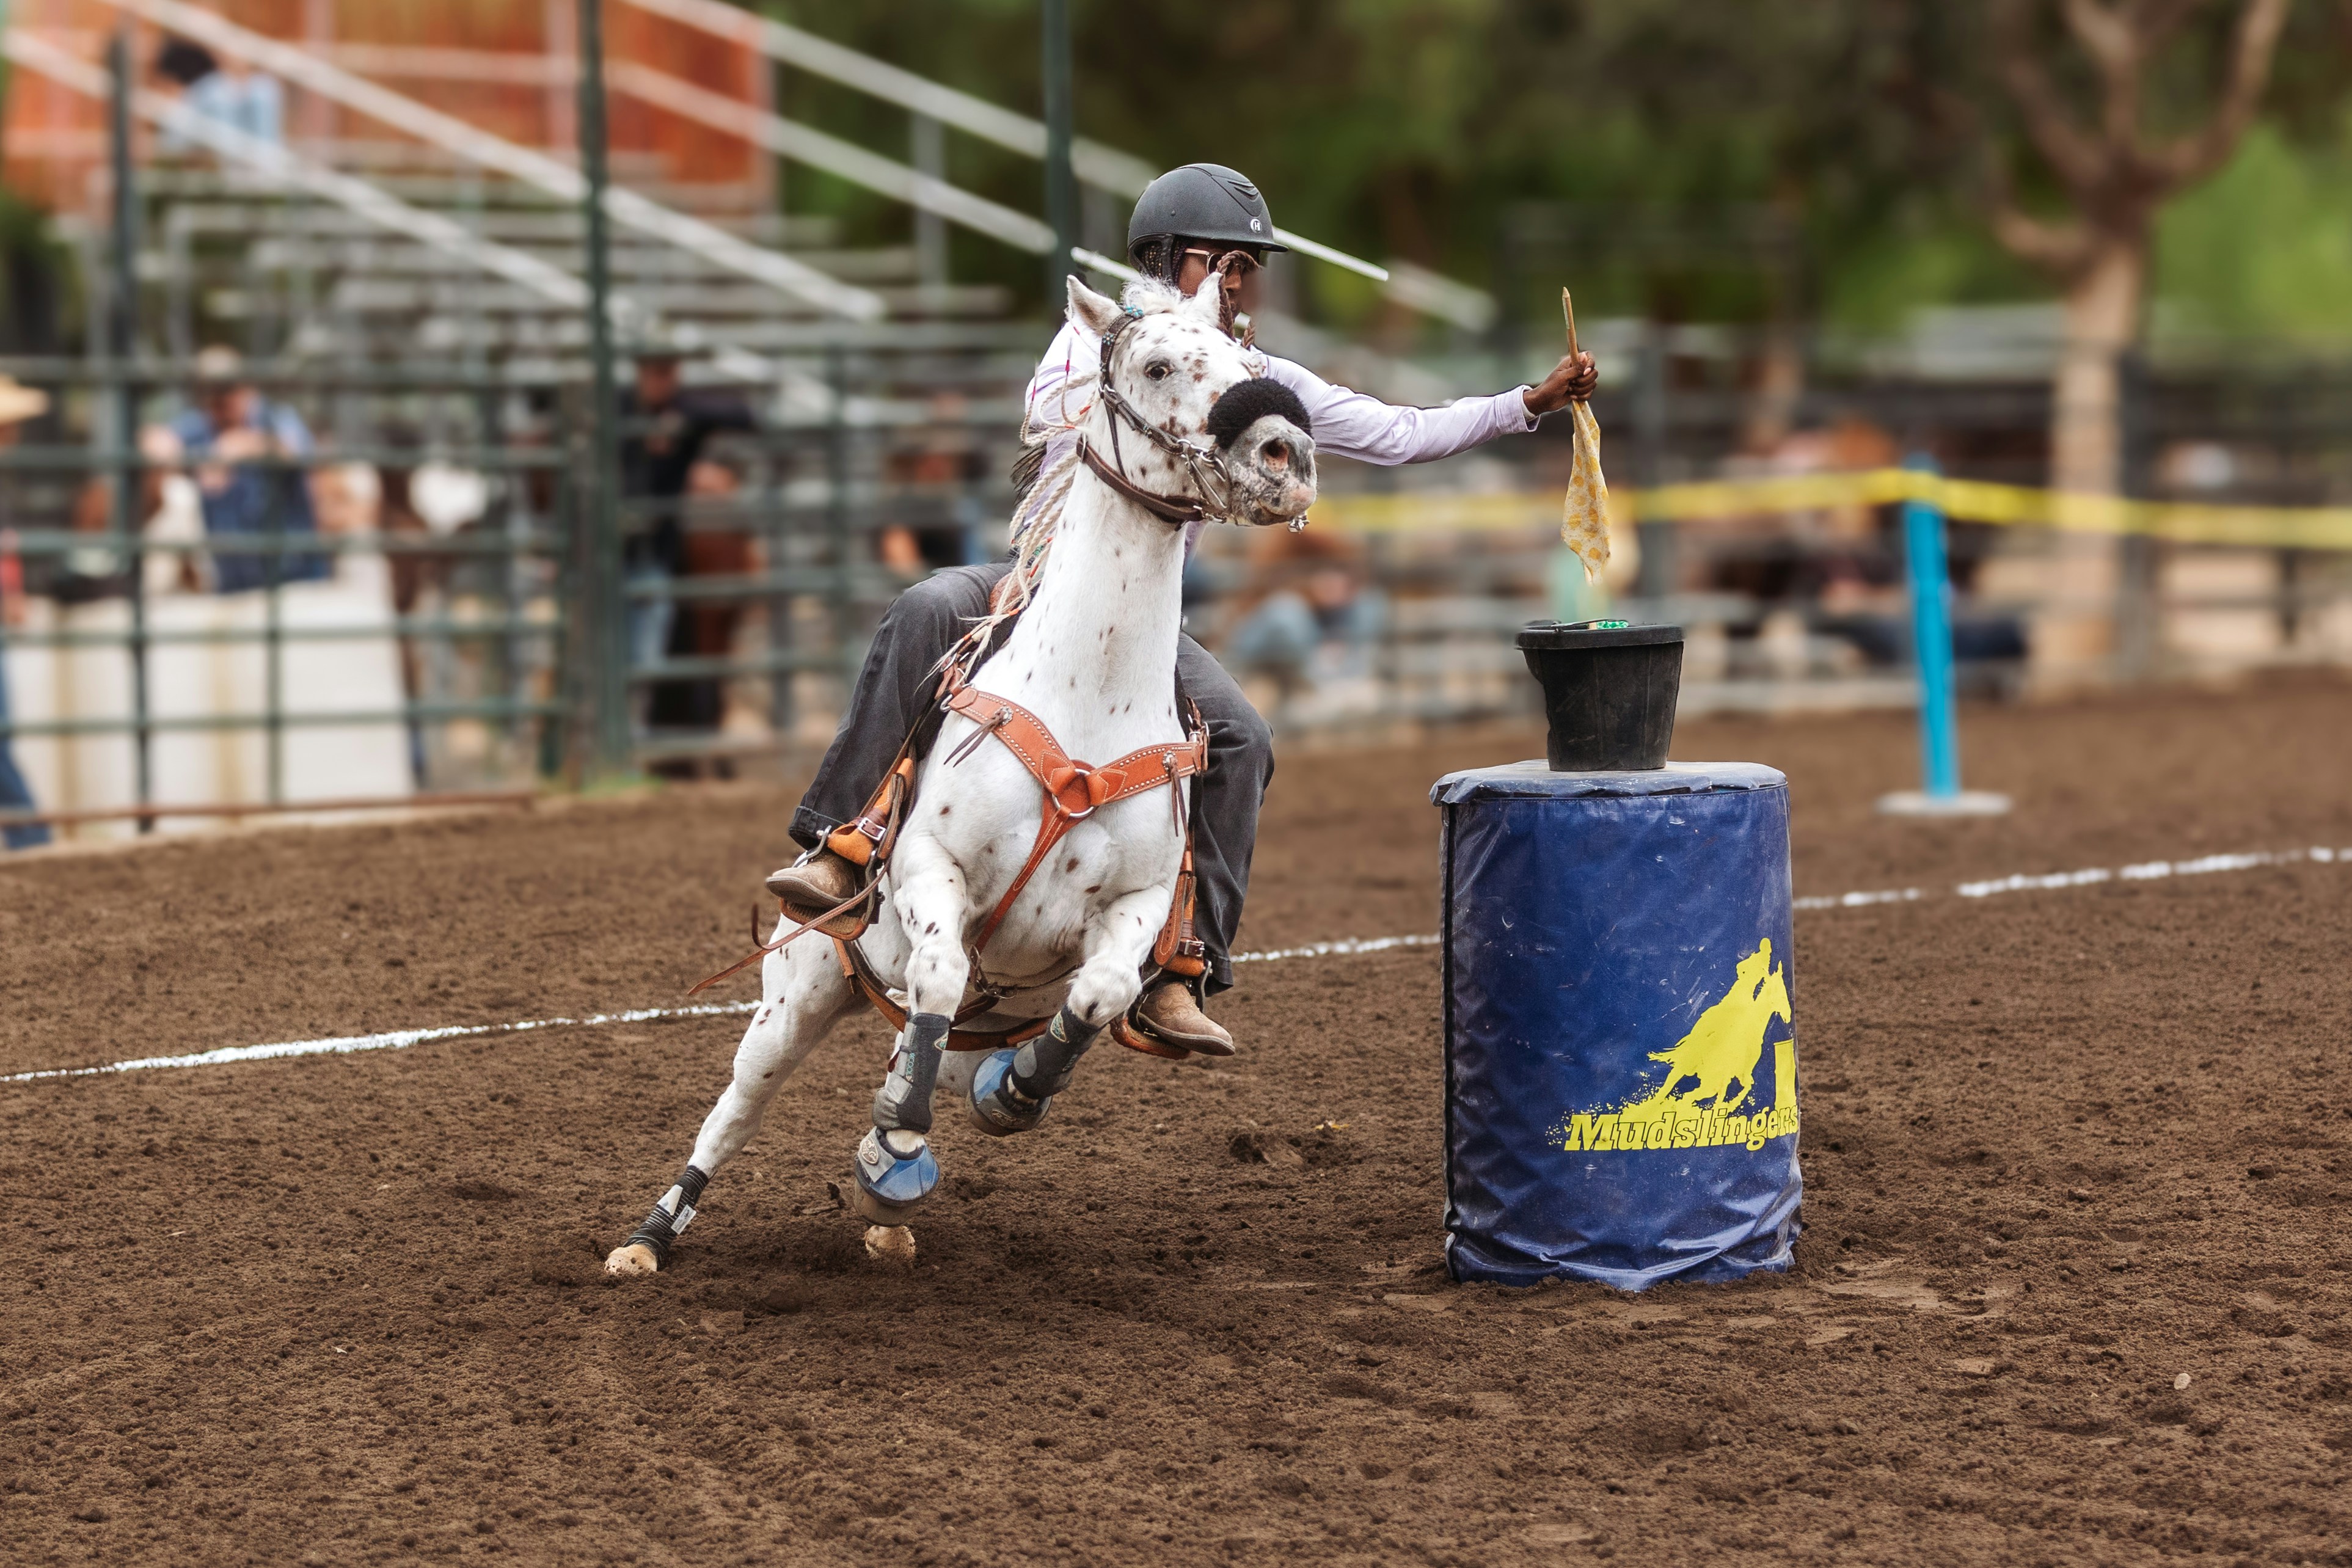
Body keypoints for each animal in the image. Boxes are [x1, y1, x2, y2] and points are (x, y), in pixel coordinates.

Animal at [605, 272, 1318, 1275]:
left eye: (1248, 361)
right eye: (1155, 364)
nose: (1284, 450)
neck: (1087, 691)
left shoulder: (1137, 907)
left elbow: (1096, 996)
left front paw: (1010, 1093)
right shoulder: (928, 867)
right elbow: (940, 974)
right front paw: (899, 1138)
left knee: (924, 1047)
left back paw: (890, 1200)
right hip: (795, 992)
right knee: (738, 1107)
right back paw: (651, 1236)